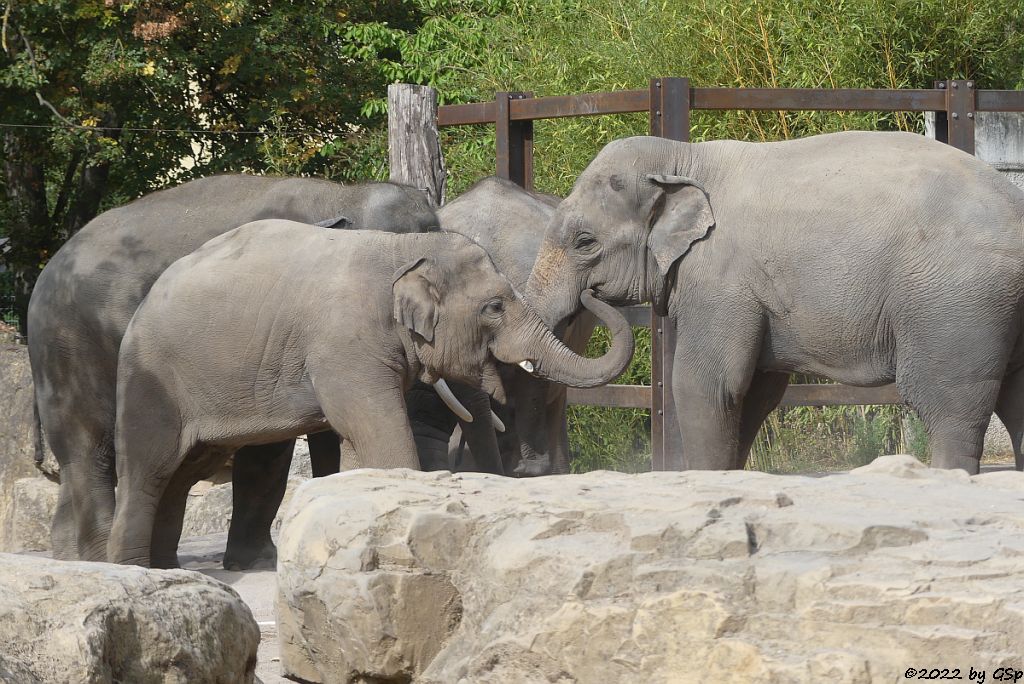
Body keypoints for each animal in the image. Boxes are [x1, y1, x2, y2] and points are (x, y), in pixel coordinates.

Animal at [27, 172, 440, 565]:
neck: (342, 195)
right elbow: (272, 446)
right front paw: (258, 561)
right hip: (70, 349)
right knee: (90, 452)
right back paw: (99, 559)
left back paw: (70, 557)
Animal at [108, 223, 626, 565]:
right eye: (494, 307)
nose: (594, 290)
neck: (402, 247)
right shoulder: (345, 346)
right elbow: (377, 431)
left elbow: (358, 445)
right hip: (149, 380)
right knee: (150, 471)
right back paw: (134, 569)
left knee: (181, 476)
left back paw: (165, 571)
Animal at [524, 132, 1024, 475]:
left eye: (584, 242)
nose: (589, 296)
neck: (684, 155)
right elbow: (755, 391)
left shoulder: (721, 282)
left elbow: (706, 384)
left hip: (955, 303)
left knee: (946, 404)